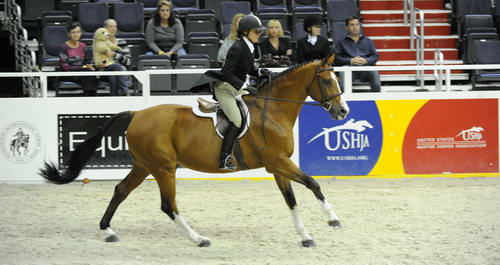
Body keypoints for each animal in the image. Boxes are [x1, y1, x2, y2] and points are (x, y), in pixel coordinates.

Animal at [39, 52, 350, 246]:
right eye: (327, 80)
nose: (343, 112)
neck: (273, 111)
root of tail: (137, 114)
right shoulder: (278, 162)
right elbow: (312, 183)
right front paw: (333, 219)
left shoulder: (278, 166)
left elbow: (292, 200)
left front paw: (306, 236)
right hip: (163, 168)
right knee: (168, 205)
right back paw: (198, 239)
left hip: (144, 166)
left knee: (121, 191)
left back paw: (108, 231)